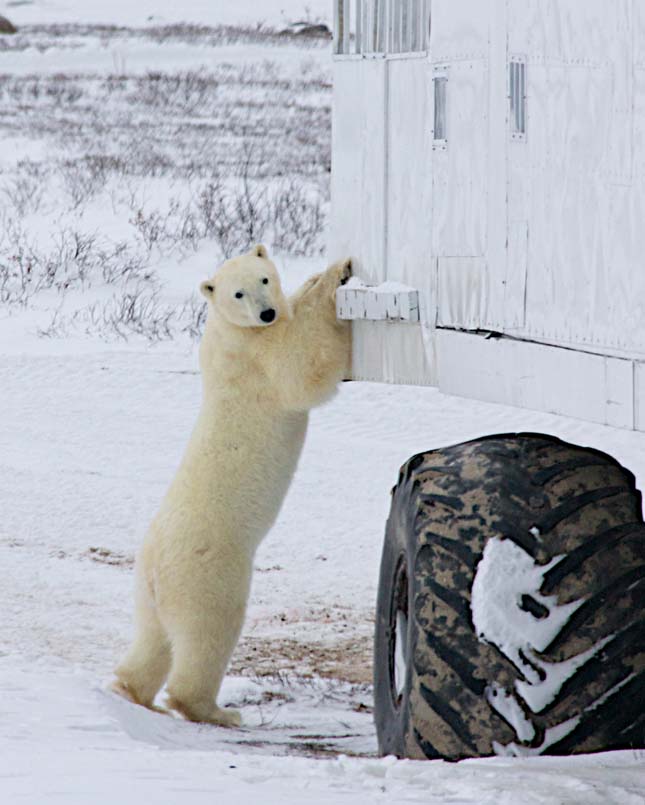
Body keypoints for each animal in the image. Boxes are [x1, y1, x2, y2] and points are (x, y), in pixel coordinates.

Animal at [112, 243, 350, 724]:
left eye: (264, 279)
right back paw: (213, 710)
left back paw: (132, 690)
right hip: (209, 572)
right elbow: (303, 367)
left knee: (152, 639)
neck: (226, 331)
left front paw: (310, 282)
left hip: (147, 592)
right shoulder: (256, 359)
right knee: (209, 634)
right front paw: (333, 276)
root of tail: (156, 570)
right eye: (238, 293)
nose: (266, 312)